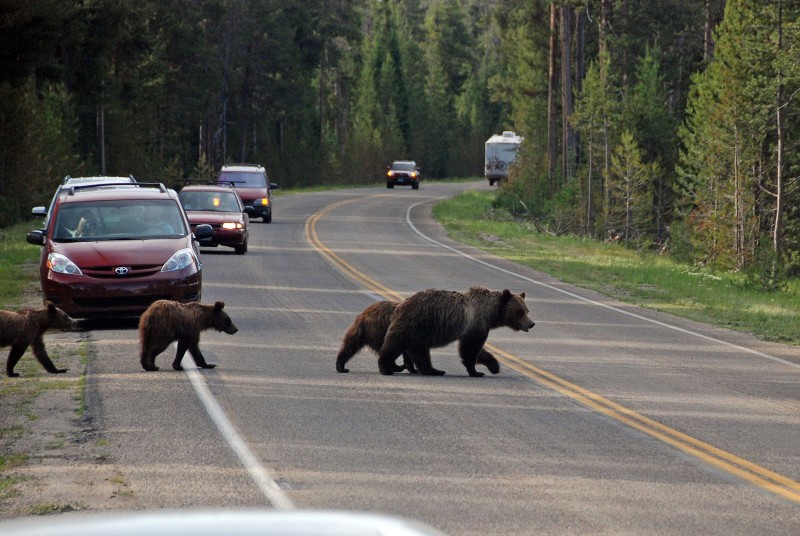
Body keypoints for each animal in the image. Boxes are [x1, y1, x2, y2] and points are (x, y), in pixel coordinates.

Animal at [378, 288, 536, 376]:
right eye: (519, 311)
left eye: (526, 310)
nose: (531, 323)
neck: (491, 314)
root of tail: (400, 305)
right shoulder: (476, 325)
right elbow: (470, 349)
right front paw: (476, 372)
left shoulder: (475, 328)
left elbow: (477, 349)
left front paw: (494, 366)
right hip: (415, 325)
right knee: (395, 344)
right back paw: (387, 368)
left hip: (419, 332)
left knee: (419, 352)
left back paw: (431, 370)